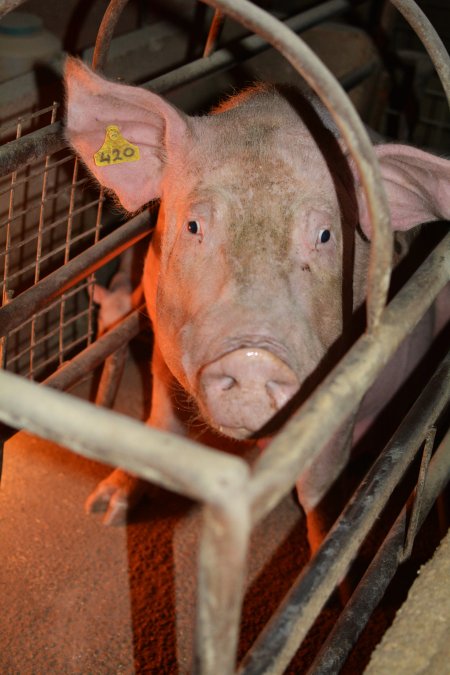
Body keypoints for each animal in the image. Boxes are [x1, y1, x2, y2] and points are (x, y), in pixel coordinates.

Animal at [63, 58, 450, 548]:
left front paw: (326, 558)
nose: (253, 358)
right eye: (193, 225)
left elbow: (318, 490)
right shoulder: (162, 331)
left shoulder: (346, 378)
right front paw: (106, 508)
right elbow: (160, 423)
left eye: (326, 235)